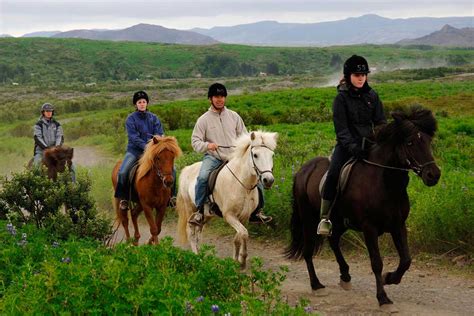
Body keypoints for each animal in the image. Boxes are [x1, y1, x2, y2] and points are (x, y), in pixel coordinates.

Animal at [177, 130, 278, 268]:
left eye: (272, 155)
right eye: (255, 155)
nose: (268, 180)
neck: (242, 184)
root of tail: (186, 169)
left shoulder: (244, 217)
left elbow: (239, 236)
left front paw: (236, 259)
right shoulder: (229, 215)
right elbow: (244, 233)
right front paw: (242, 260)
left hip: (206, 215)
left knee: (199, 232)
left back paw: (202, 254)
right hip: (189, 209)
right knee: (191, 233)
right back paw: (197, 257)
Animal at [286, 107, 442, 310]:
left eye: (428, 141)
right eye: (410, 142)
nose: (434, 175)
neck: (386, 183)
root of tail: (303, 170)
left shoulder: (398, 225)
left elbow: (406, 260)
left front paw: (389, 278)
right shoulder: (370, 228)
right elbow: (376, 262)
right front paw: (383, 298)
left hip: (339, 221)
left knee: (333, 241)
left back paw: (345, 276)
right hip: (308, 218)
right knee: (308, 250)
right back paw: (317, 285)